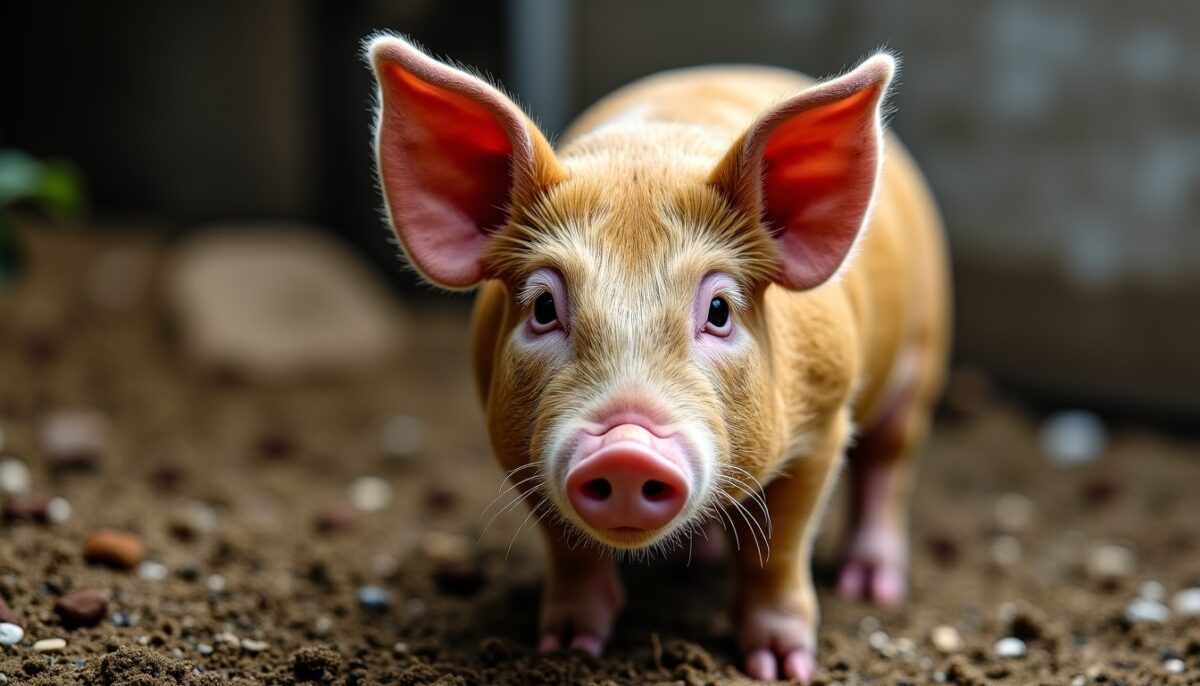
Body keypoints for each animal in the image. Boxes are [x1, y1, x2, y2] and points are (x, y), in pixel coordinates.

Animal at [366, 33, 949, 683]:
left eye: (719, 310)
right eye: (543, 306)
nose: (626, 450)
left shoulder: (823, 423)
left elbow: (779, 552)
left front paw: (781, 667)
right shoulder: (517, 448)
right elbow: (570, 552)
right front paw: (568, 647)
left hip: (924, 351)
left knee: (889, 463)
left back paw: (871, 587)